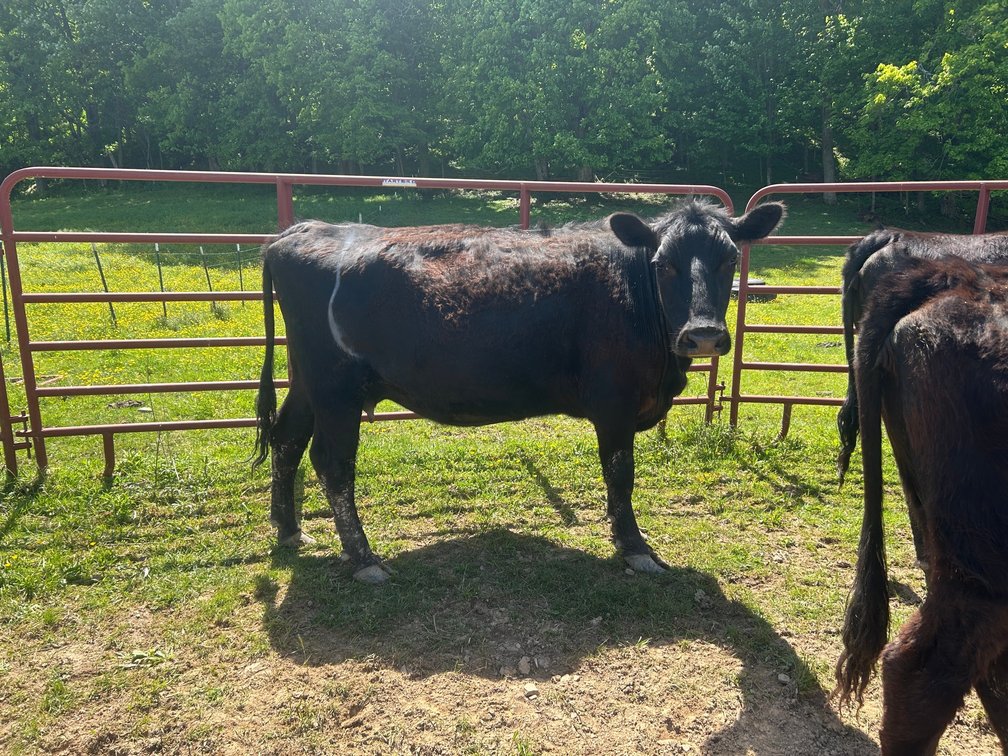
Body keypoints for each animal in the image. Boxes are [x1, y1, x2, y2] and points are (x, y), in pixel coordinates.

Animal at [252, 200, 785, 583]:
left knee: (287, 440)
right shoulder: (613, 402)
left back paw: (289, 530)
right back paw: (364, 557)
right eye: (664, 263)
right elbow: (620, 474)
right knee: (332, 463)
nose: (703, 334)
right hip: (336, 389)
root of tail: (297, 232)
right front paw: (634, 548)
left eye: (729, 259)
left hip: (308, 383)